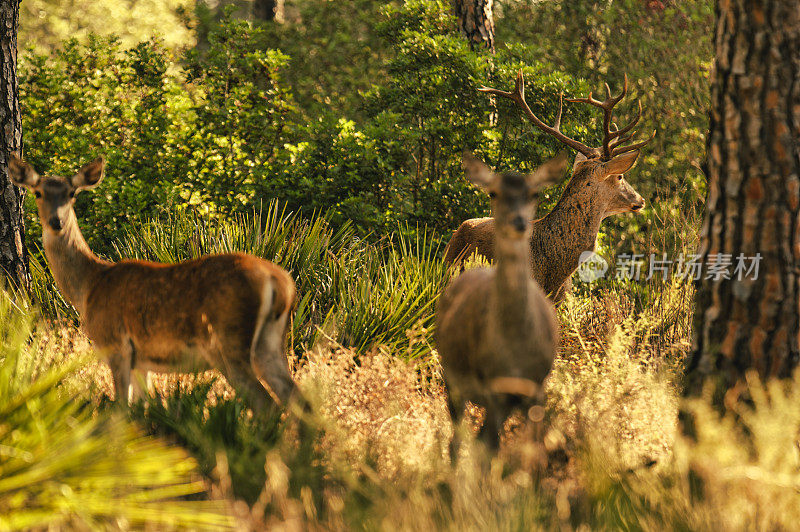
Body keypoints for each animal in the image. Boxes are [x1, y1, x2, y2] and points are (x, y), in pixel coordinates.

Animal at [7, 154, 296, 412]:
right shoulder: (141, 361)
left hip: (229, 339)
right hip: (270, 342)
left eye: (71, 194)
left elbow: (121, 410)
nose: (56, 222)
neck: (89, 286)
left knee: (267, 404)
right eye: (38, 193)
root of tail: (280, 281)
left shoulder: (116, 345)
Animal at [434, 150, 564, 454]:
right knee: (457, 439)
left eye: (535, 193)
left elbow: (532, 449)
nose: (518, 222)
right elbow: (487, 445)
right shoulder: (492, 389)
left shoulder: (535, 390)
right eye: (493, 192)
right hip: (453, 381)